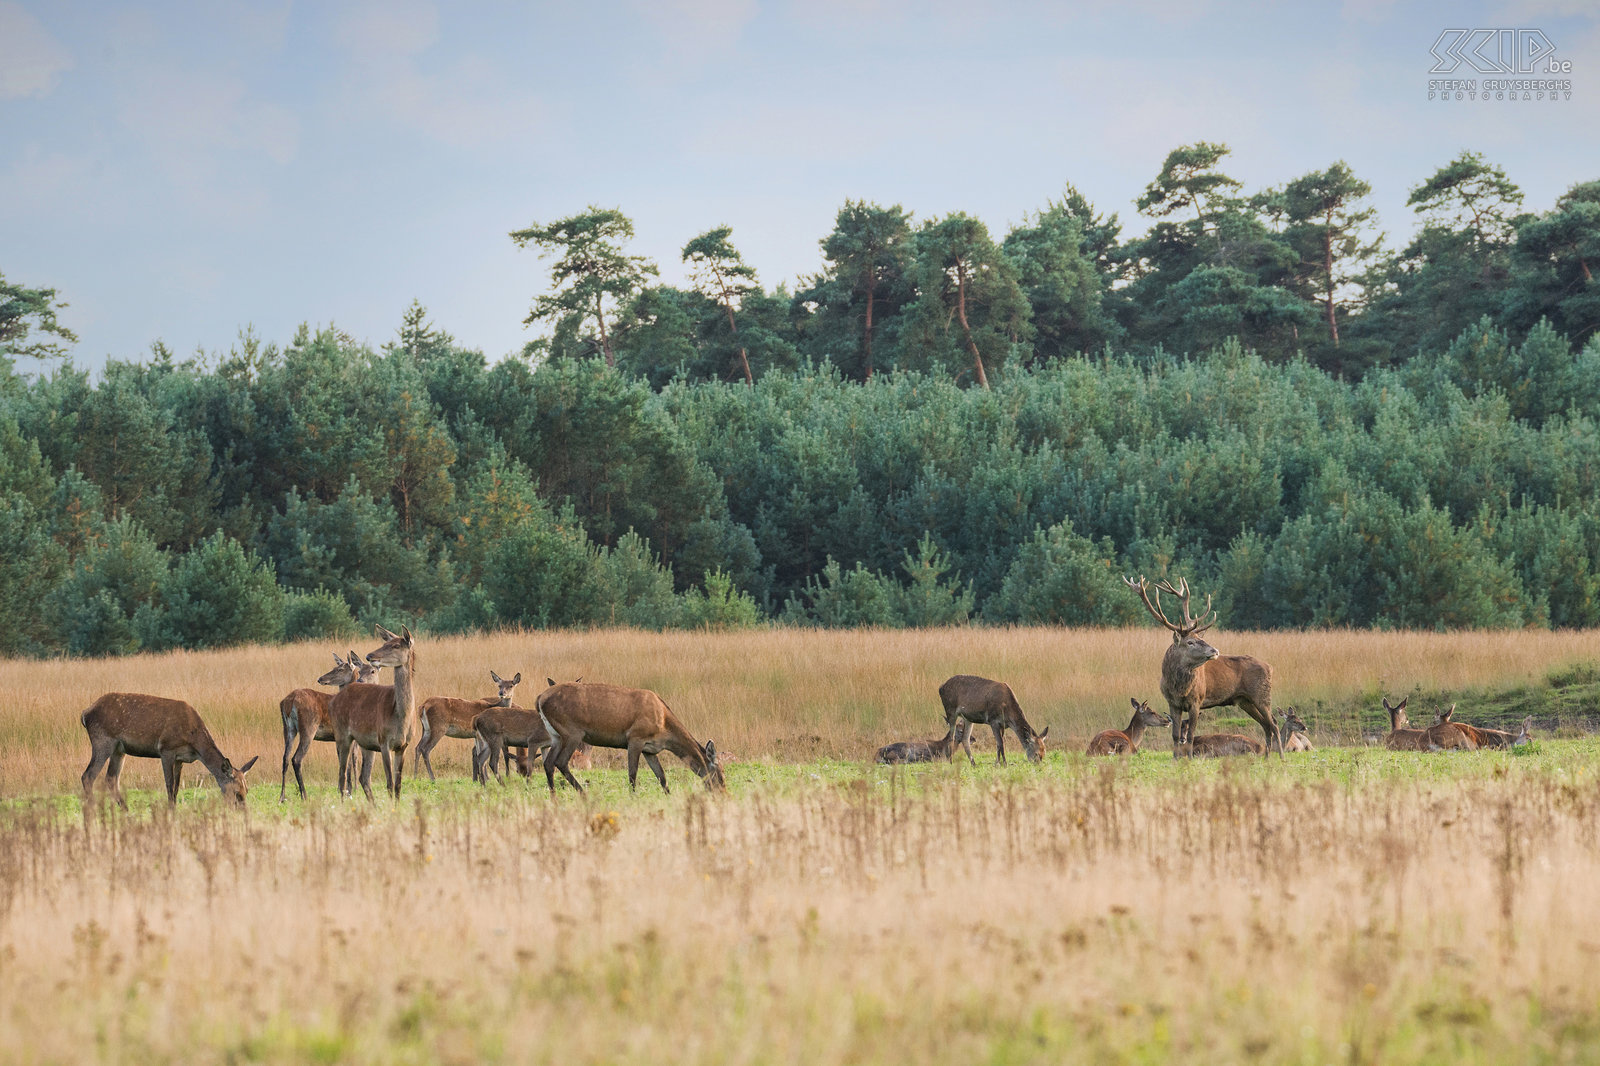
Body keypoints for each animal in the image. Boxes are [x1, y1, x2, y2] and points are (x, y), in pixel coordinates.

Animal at [82, 688, 259, 806]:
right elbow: (169, 784)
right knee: (88, 775)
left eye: (247, 790)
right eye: (236, 792)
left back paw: (125, 810)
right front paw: (170, 811)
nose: (242, 811)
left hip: (119, 750)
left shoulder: (180, 758)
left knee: (111, 778)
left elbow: (176, 787)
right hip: (102, 740)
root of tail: (85, 713)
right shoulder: (166, 749)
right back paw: (94, 808)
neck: (195, 742)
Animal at [280, 646, 379, 797]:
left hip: (288, 728)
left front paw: (341, 789)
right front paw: (349, 790)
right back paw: (304, 795)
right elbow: (350, 761)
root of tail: (289, 701)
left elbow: (343, 760)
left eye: (340, 669)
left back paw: (282, 797)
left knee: (285, 758)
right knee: (296, 759)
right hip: (308, 727)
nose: (321, 678)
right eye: (336, 667)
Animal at [328, 624, 419, 797]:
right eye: (384, 643)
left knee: (364, 777)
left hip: (366, 744)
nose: (370, 656)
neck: (400, 717)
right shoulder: (384, 741)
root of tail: (334, 699)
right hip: (342, 735)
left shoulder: (403, 745)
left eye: (396, 645)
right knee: (342, 775)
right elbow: (389, 783)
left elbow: (398, 785)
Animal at [537, 681, 726, 787]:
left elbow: (662, 777)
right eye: (720, 772)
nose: (723, 793)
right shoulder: (635, 738)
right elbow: (632, 775)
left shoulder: (650, 750)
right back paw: (582, 793)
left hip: (555, 736)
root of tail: (539, 698)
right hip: (572, 732)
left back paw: (554, 797)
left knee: (548, 763)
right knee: (560, 762)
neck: (664, 725)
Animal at [1132, 573, 1280, 755]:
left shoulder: (1197, 701)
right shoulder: (1172, 703)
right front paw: (1175, 758)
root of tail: (1270, 667)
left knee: (1274, 724)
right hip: (1245, 700)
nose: (1215, 650)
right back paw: (1266, 757)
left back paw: (1281, 756)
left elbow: (1190, 735)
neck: (1178, 688)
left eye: (1200, 638)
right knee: (1266, 725)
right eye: (1190, 642)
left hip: (1262, 695)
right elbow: (1175, 735)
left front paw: (1189, 757)